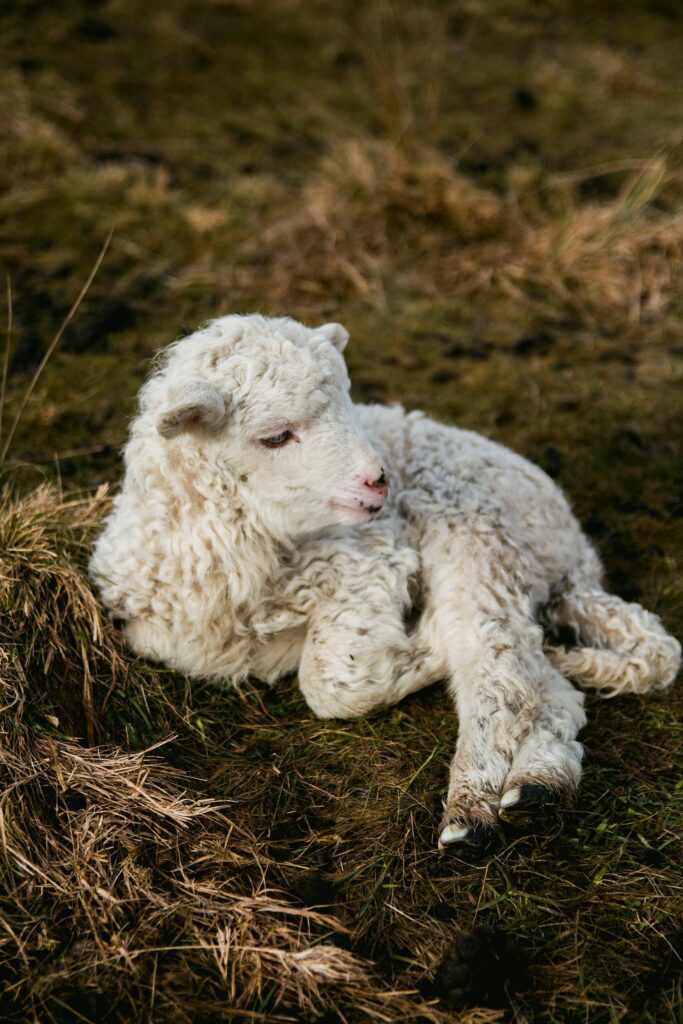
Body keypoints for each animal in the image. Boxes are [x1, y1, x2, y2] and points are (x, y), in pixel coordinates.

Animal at [90, 314, 681, 852]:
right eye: (275, 436)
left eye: (350, 403)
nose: (378, 481)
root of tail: (573, 554)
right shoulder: (164, 634)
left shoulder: (370, 559)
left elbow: (331, 683)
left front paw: (426, 644)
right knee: (546, 684)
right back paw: (539, 787)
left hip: (477, 529)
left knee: (497, 666)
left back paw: (472, 812)